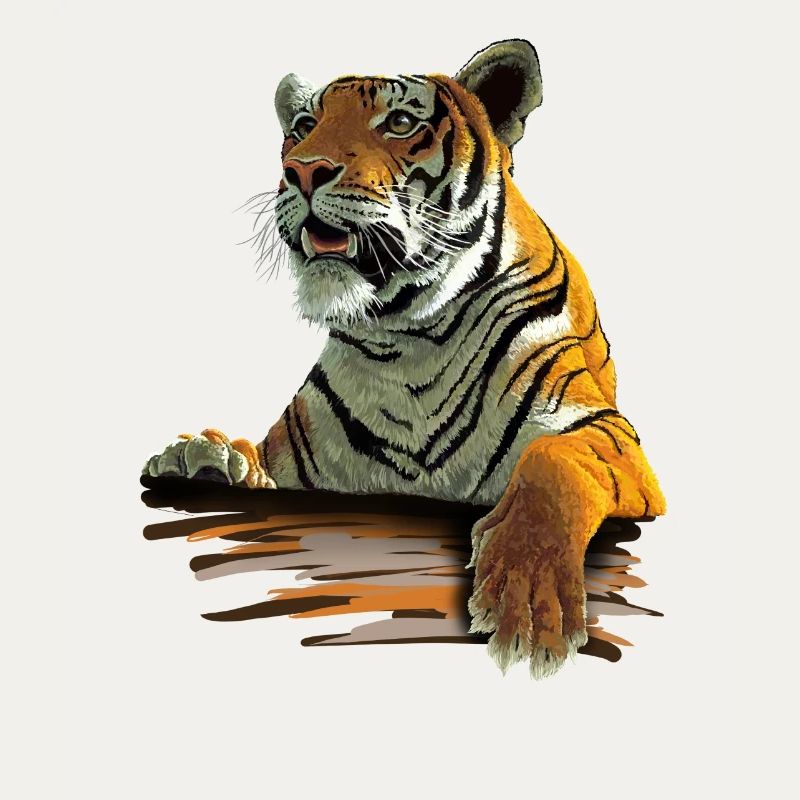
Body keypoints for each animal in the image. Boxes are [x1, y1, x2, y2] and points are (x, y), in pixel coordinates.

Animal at [144, 39, 666, 679]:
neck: (406, 342)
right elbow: (253, 460)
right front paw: (201, 458)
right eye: (304, 126)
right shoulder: (297, 467)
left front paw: (527, 603)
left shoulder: (604, 431)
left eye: (398, 123)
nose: (303, 170)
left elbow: (554, 465)